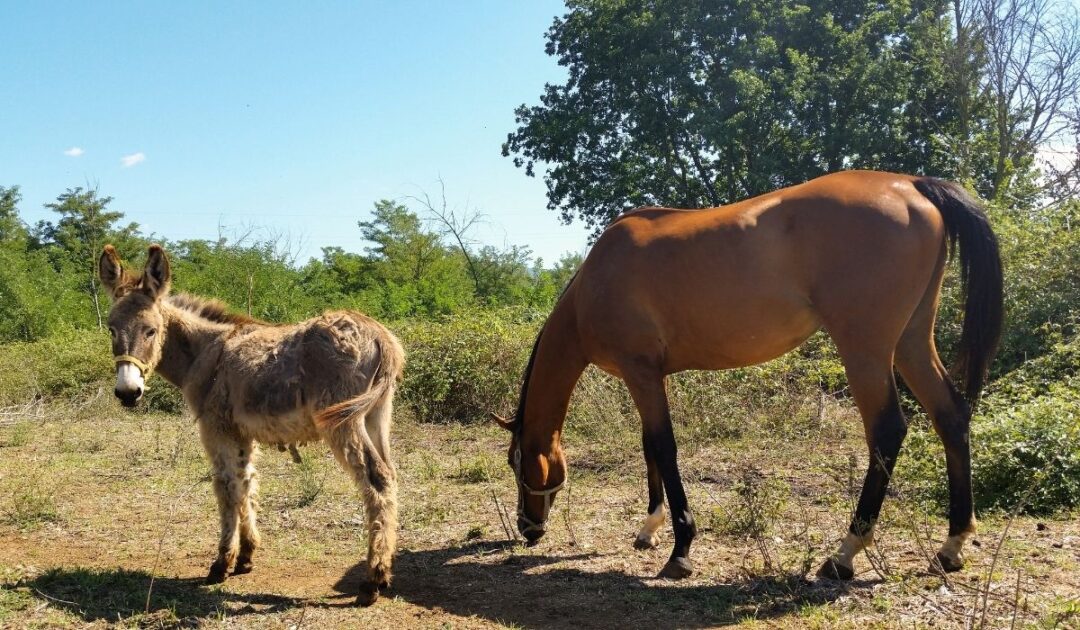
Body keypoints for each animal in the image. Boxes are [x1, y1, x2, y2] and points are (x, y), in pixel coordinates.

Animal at [98, 244, 404, 606]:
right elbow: (246, 483)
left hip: (343, 422)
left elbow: (225, 487)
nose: (127, 393)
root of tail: (380, 335)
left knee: (376, 480)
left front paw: (220, 564)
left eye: (151, 331)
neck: (205, 353)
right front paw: (246, 555)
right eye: (110, 329)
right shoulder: (242, 433)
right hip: (376, 416)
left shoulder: (215, 429)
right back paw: (385, 570)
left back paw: (372, 581)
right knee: (390, 476)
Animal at [493, 171, 1002, 581]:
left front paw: (680, 549)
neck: (595, 281)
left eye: (518, 464)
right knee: (951, 416)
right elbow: (648, 446)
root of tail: (909, 184)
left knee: (888, 431)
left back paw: (844, 554)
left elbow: (663, 447)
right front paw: (649, 529)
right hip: (912, 341)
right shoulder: (649, 376)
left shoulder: (641, 373)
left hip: (867, 350)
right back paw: (951, 547)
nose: (527, 528)